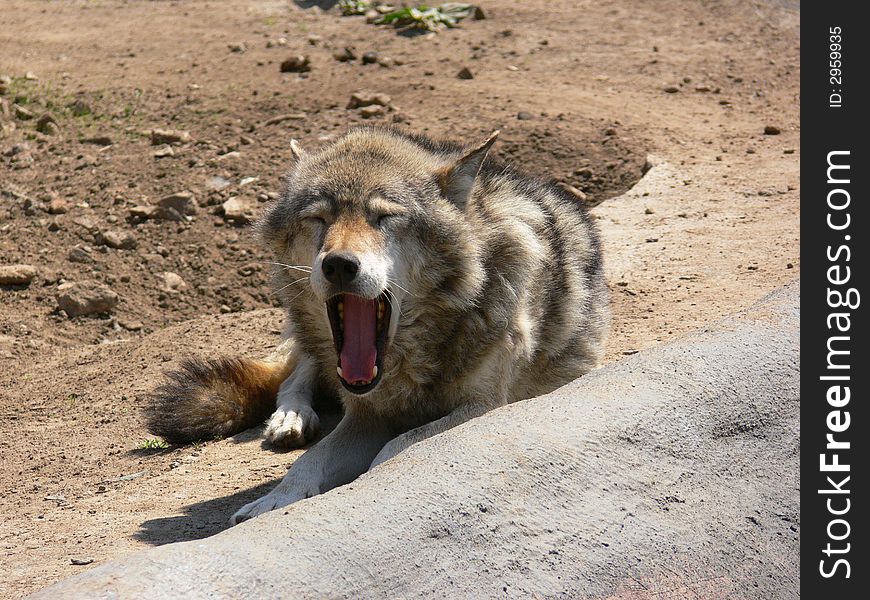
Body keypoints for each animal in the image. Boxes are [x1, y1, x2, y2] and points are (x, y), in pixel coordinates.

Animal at [146, 127, 608, 524]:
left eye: (384, 218)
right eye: (319, 218)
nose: (338, 264)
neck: (411, 363)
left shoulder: (485, 406)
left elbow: (397, 446)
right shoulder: (365, 414)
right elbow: (310, 461)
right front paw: (276, 499)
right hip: (308, 340)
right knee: (294, 376)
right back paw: (290, 419)